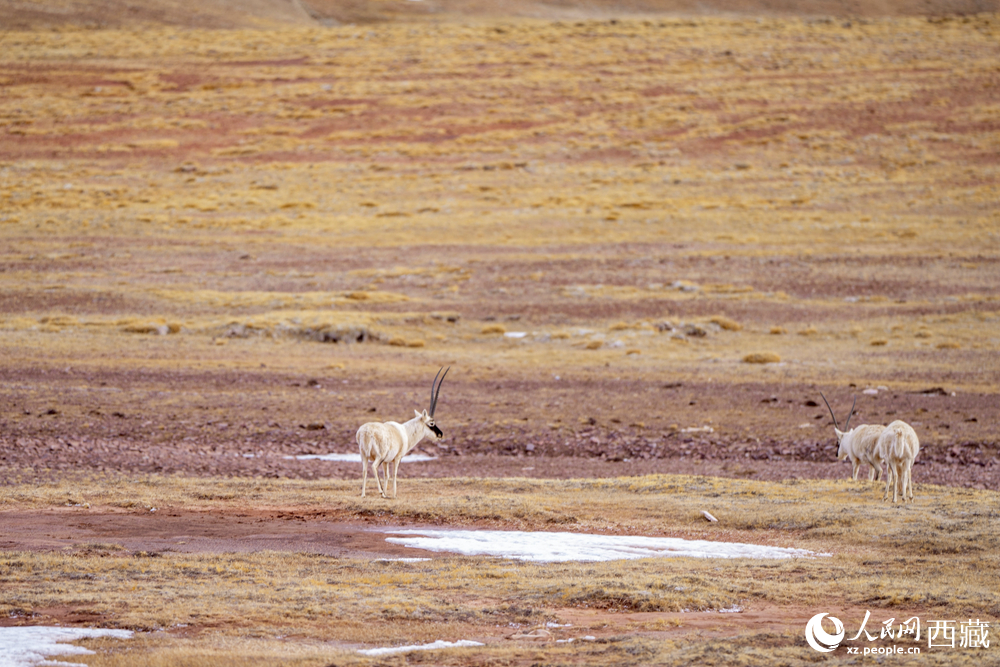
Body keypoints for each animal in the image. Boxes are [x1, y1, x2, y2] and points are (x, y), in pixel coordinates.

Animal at [358, 368, 448, 498]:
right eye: (431, 423)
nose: (440, 434)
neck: (405, 431)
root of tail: (365, 432)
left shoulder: (386, 461)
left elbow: (387, 476)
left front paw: (386, 493)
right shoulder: (397, 458)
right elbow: (394, 474)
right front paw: (393, 495)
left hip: (364, 456)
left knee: (364, 470)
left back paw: (364, 494)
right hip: (379, 456)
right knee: (373, 467)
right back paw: (380, 492)